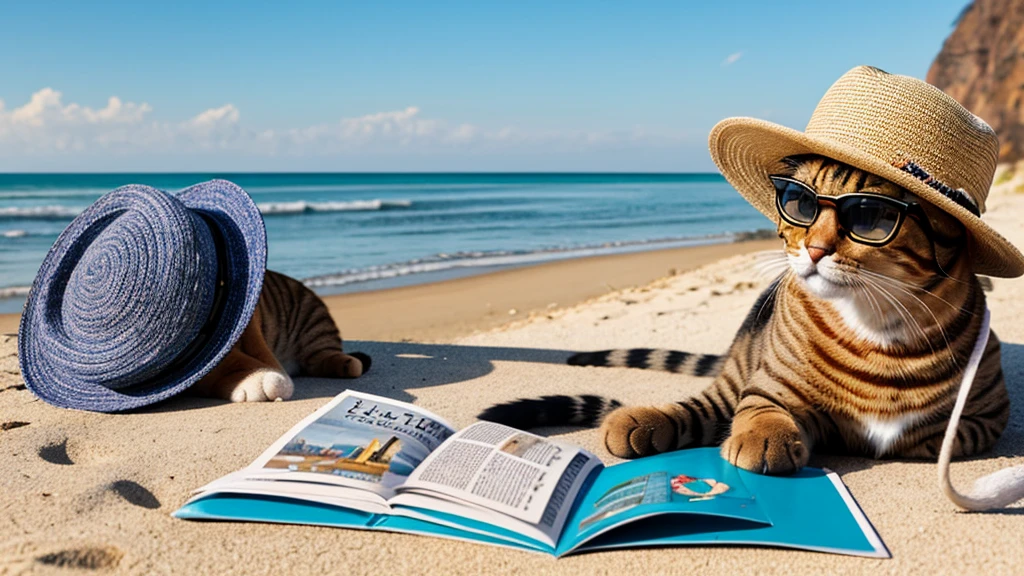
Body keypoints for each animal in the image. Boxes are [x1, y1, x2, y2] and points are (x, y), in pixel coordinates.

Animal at [479, 154, 1007, 473]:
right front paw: (772, 436)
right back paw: (637, 421)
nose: (814, 249)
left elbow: (929, 434)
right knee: (704, 409)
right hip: (737, 374)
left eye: (872, 219)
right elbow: (763, 413)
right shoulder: (768, 390)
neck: (876, 324)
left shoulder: (983, 421)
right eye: (800, 204)